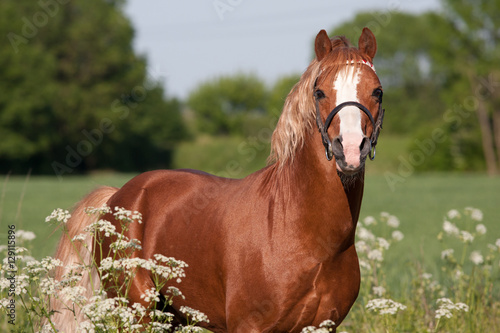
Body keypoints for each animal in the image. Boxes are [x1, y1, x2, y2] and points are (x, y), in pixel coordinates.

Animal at [52, 27, 384, 330]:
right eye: (319, 92)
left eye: (377, 91)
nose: (350, 149)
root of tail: (118, 194)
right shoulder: (249, 326)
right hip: (137, 314)